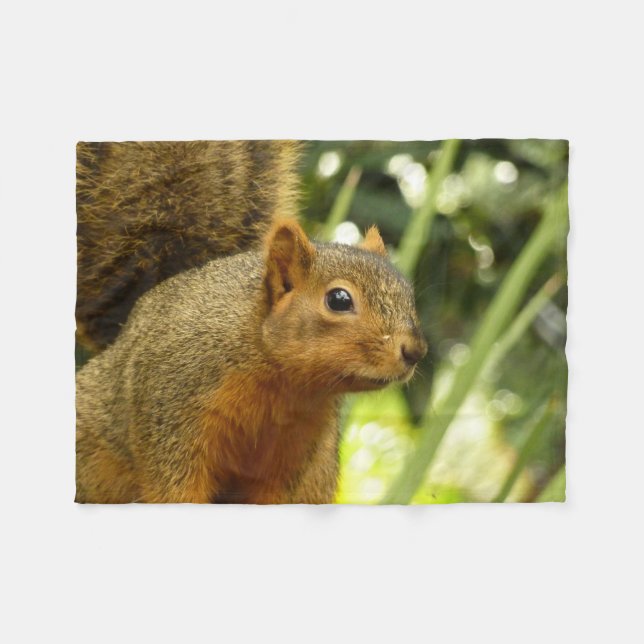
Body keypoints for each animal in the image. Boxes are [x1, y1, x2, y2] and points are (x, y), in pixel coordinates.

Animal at [75, 141, 427, 504]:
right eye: (339, 300)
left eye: (407, 293)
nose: (415, 351)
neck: (282, 382)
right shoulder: (172, 412)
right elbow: (174, 488)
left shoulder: (295, 452)